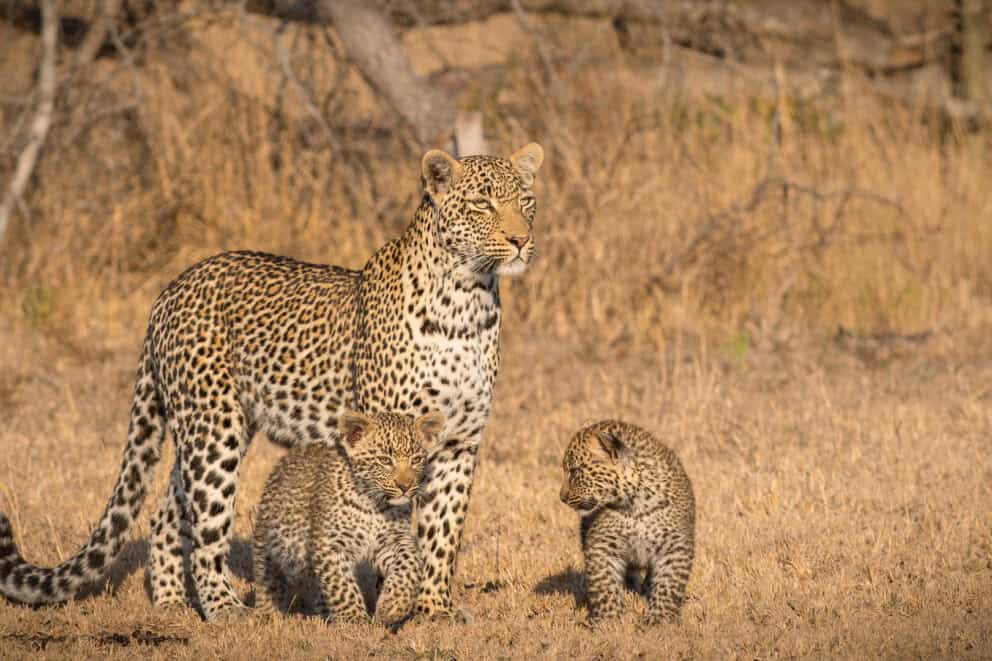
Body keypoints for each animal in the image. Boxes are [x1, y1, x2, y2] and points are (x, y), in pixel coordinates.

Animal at [253, 410, 442, 627]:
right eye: (385, 460)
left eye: (416, 460)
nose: (405, 486)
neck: (374, 505)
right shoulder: (330, 543)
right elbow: (342, 586)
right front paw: (355, 621)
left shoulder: (394, 539)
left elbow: (410, 565)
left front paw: (392, 606)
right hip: (266, 542)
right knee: (267, 578)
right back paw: (267, 614)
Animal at [559, 420, 695, 626]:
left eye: (574, 471)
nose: (562, 498)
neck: (636, 505)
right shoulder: (602, 546)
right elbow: (604, 584)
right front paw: (610, 620)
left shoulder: (675, 547)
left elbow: (668, 585)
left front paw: (660, 619)